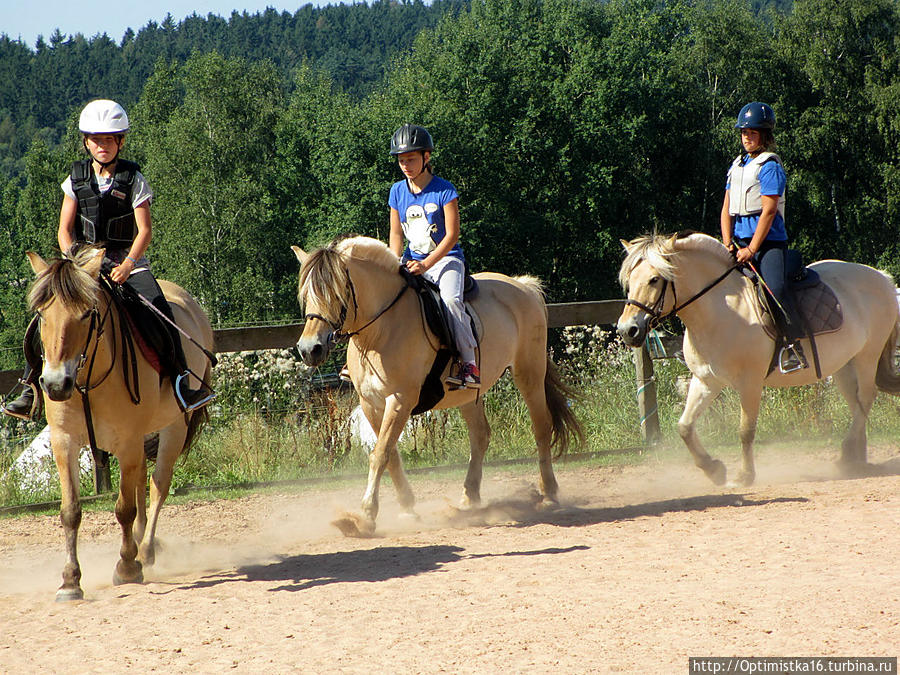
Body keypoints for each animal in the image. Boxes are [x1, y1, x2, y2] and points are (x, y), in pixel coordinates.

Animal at [26, 248, 213, 604]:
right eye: (42, 314)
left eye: (87, 314)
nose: (55, 384)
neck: (87, 380)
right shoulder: (64, 441)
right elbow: (70, 511)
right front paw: (70, 581)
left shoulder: (127, 440)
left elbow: (124, 508)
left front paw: (127, 567)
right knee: (140, 480)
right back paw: (140, 543)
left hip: (174, 427)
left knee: (157, 484)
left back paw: (146, 550)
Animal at [292, 235, 580, 536]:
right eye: (306, 295)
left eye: (335, 293)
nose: (309, 349)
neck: (380, 332)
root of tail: (522, 285)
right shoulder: (370, 404)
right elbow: (390, 455)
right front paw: (407, 508)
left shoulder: (400, 399)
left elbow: (380, 454)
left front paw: (365, 516)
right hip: (469, 394)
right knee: (481, 436)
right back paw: (469, 499)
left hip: (528, 373)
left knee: (541, 428)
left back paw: (549, 494)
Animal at [620, 232, 900, 486]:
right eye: (629, 281)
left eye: (654, 279)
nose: (627, 330)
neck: (721, 311)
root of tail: (881, 277)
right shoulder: (706, 381)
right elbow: (685, 427)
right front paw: (714, 469)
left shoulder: (750, 383)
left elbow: (745, 430)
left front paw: (744, 476)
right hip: (844, 365)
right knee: (856, 404)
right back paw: (855, 459)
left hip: (867, 356)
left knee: (866, 398)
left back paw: (848, 454)